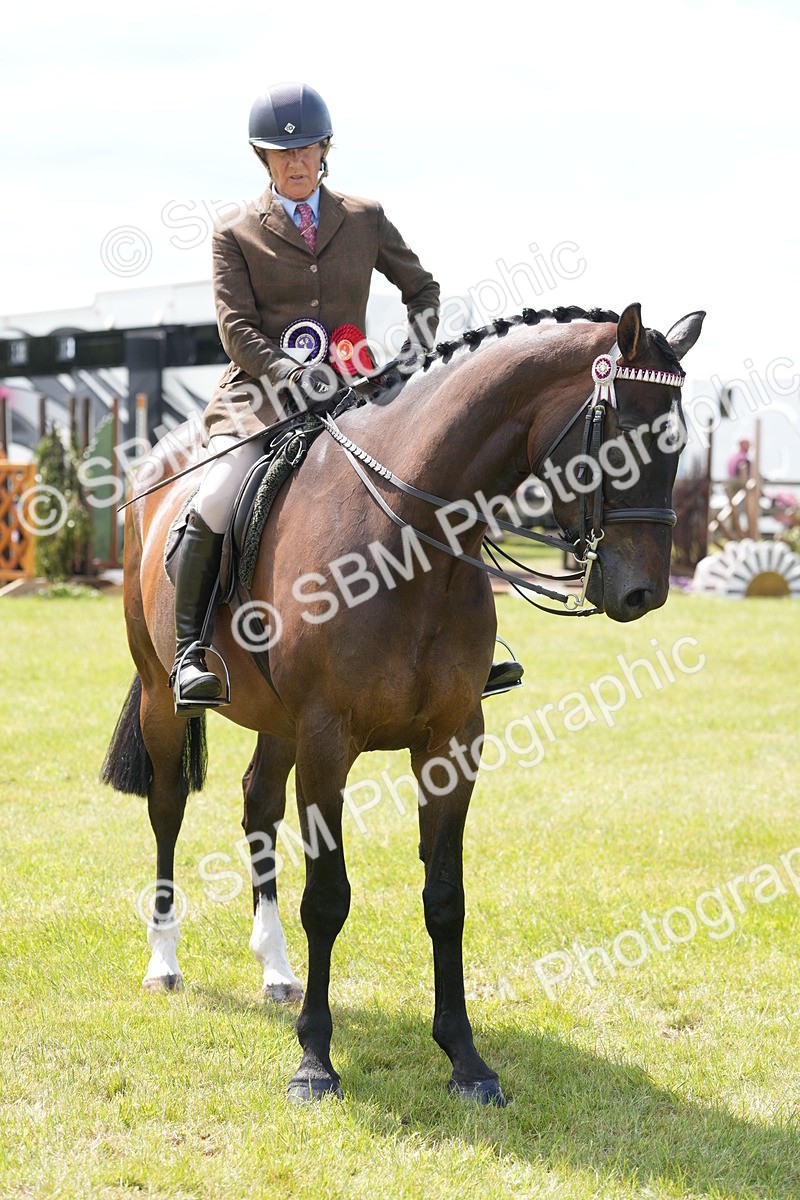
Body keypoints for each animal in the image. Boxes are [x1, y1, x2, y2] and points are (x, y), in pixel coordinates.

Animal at [102, 301, 704, 1105]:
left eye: (680, 439)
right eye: (624, 433)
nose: (643, 593)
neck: (405, 541)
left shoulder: (451, 741)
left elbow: (445, 898)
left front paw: (466, 1059)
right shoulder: (328, 742)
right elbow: (327, 899)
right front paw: (314, 1062)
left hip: (277, 722)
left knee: (257, 804)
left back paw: (276, 970)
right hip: (165, 697)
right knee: (168, 807)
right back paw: (164, 962)